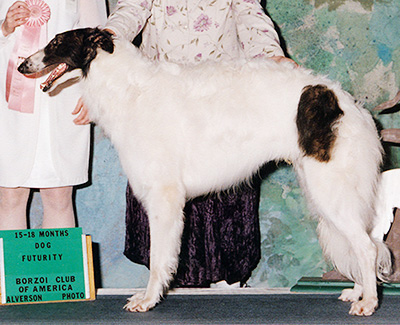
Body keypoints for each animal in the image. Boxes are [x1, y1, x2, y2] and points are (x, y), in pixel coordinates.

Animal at [18, 28, 390, 316]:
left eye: (56, 42)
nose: (22, 65)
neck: (127, 86)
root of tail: (346, 103)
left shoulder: (164, 196)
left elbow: (158, 258)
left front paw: (147, 300)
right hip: (326, 192)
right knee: (359, 244)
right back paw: (357, 292)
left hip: (331, 191)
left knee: (367, 247)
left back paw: (369, 302)